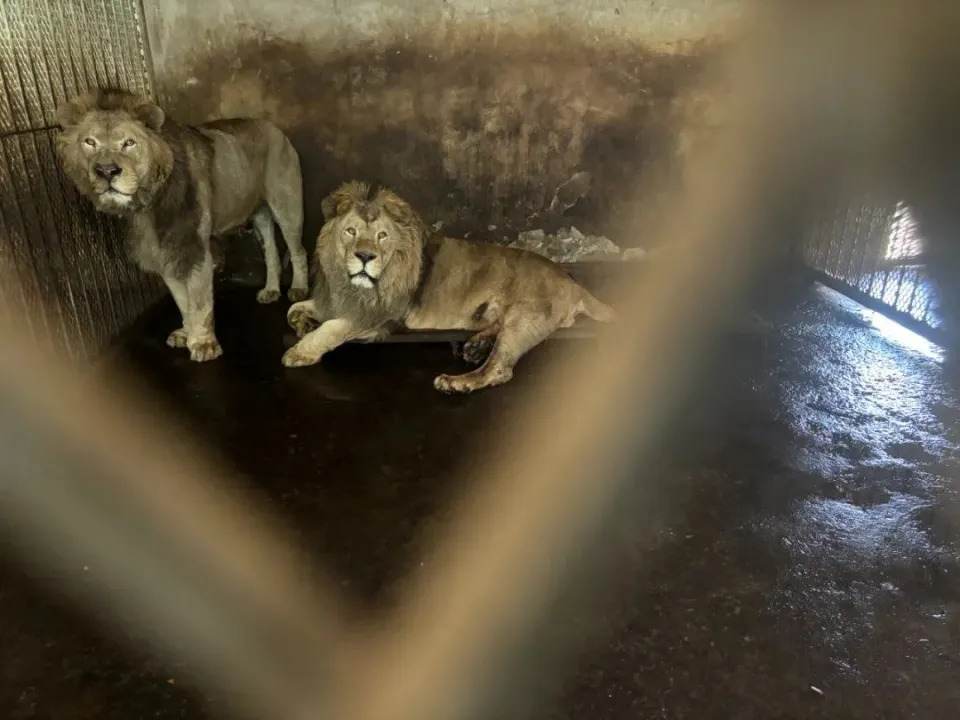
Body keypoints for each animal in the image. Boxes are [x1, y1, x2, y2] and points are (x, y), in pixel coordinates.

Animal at [54, 89, 308, 360]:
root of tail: (273, 127)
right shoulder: (164, 253)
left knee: (298, 251)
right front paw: (186, 334)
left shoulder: (194, 248)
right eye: (90, 142)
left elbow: (198, 300)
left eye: (129, 143)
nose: (106, 170)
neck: (145, 207)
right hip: (259, 214)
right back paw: (271, 290)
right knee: (271, 252)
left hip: (287, 205)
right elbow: (182, 300)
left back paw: (298, 289)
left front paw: (204, 344)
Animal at [284, 180, 616, 394]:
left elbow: (332, 329)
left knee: (499, 368)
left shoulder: (381, 316)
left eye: (382, 236)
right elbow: (295, 309)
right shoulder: (335, 300)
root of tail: (571, 281)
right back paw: (476, 345)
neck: (351, 285)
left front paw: (299, 352)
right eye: (351, 231)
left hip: (526, 317)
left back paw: (457, 382)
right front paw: (303, 323)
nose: (364, 257)